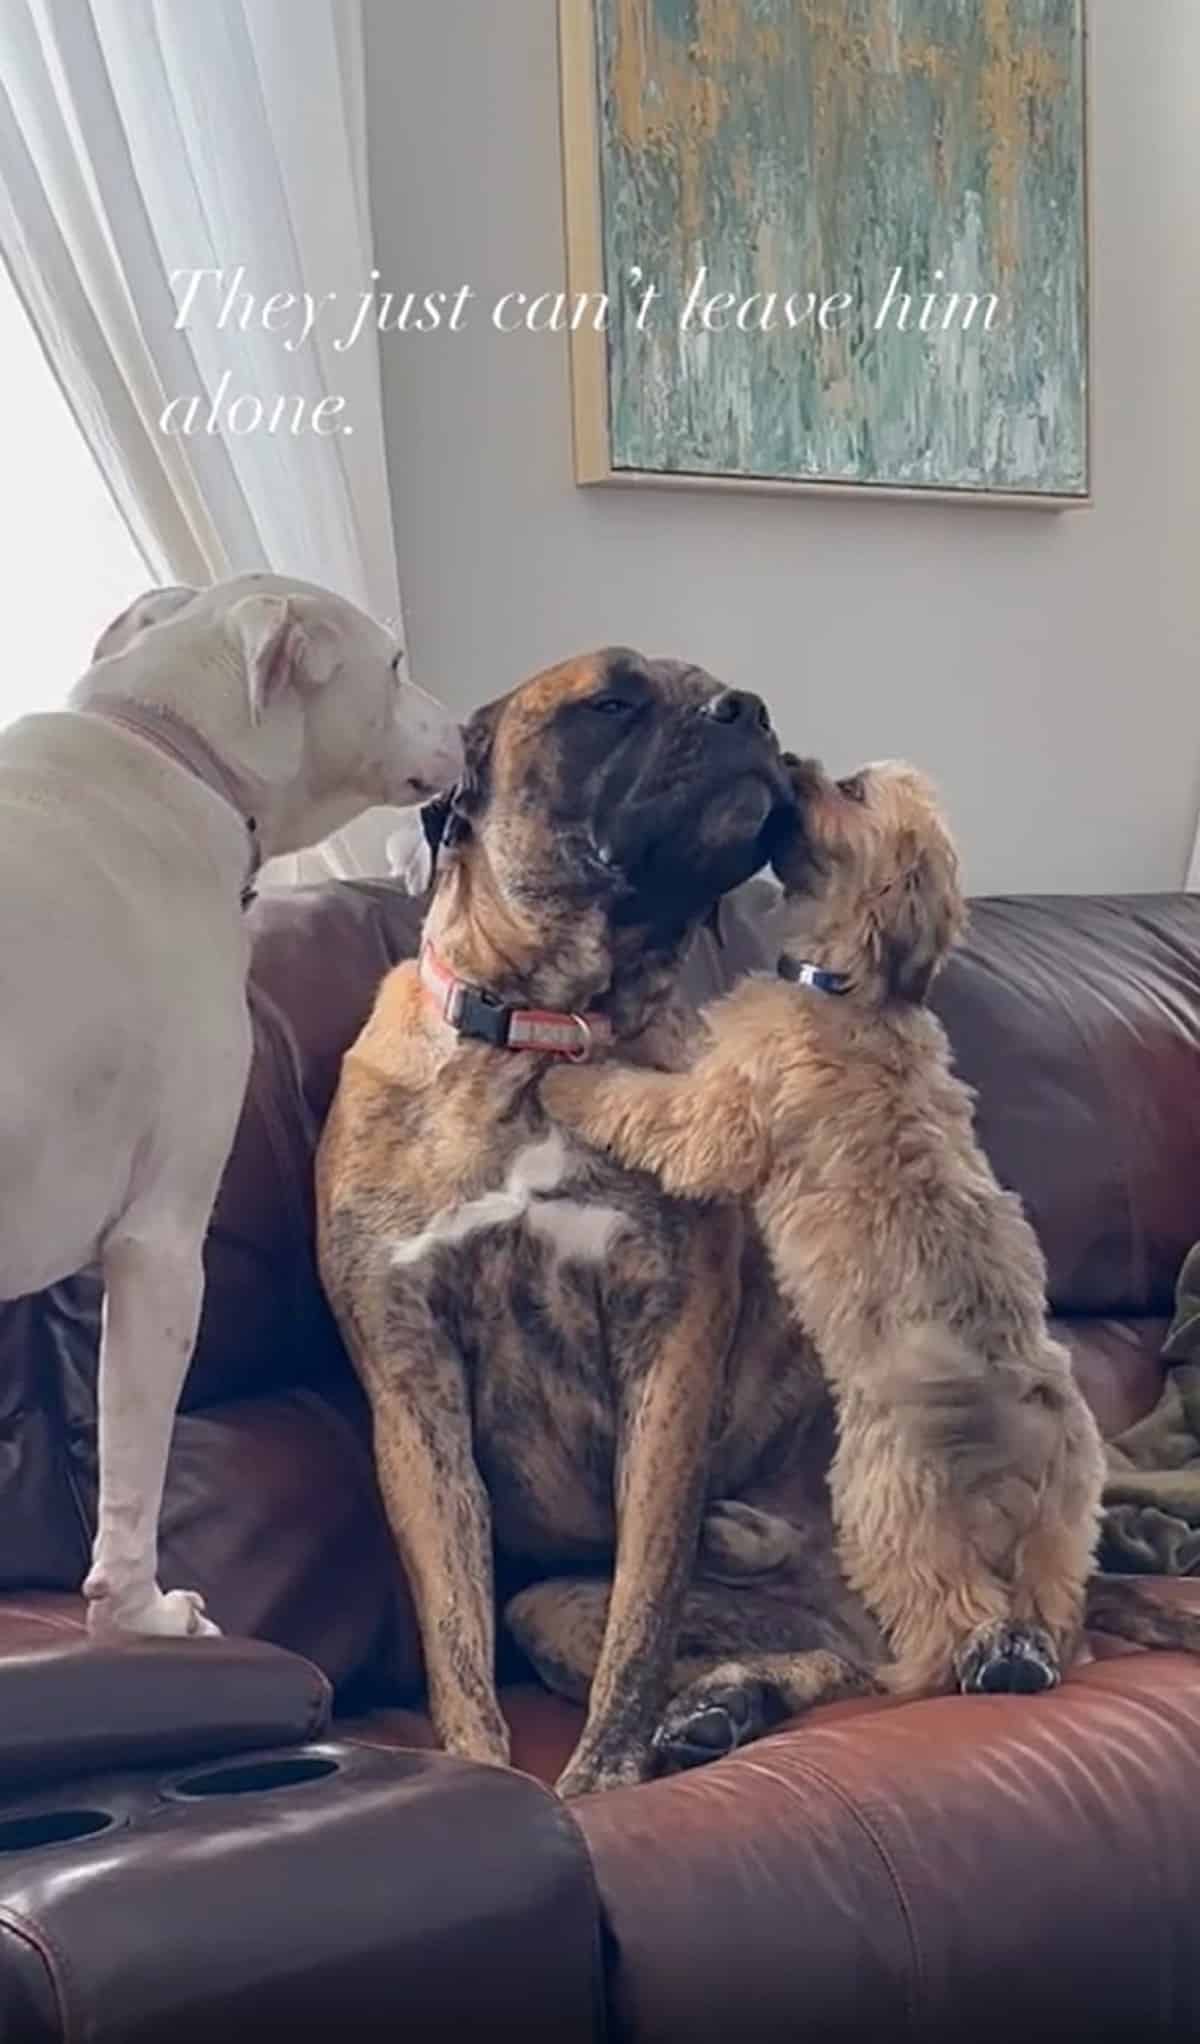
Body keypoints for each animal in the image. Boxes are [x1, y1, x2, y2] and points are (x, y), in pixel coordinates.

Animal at [0, 572, 464, 1643]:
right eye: (391, 664)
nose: (468, 729)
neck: (169, 744)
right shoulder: (162, 1246)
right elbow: (135, 1466)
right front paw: (143, 1614)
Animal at [318, 654, 883, 1790]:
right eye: (610, 701)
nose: (751, 713)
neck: (551, 1032)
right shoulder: (413, 1382)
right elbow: (454, 1631)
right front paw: (486, 1773)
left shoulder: (668, 1352)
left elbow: (645, 1607)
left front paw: (604, 1778)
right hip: (547, 1603)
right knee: (819, 1659)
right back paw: (720, 1709)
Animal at [547, 760, 1193, 1700]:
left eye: (847, 790)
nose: (791, 763)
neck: (853, 984)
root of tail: (1017, 1442)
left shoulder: (724, 1113)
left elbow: (652, 1108)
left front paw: (576, 1080)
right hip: (1063, 1527)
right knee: (1050, 1611)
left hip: (880, 1496)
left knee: (949, 1620)